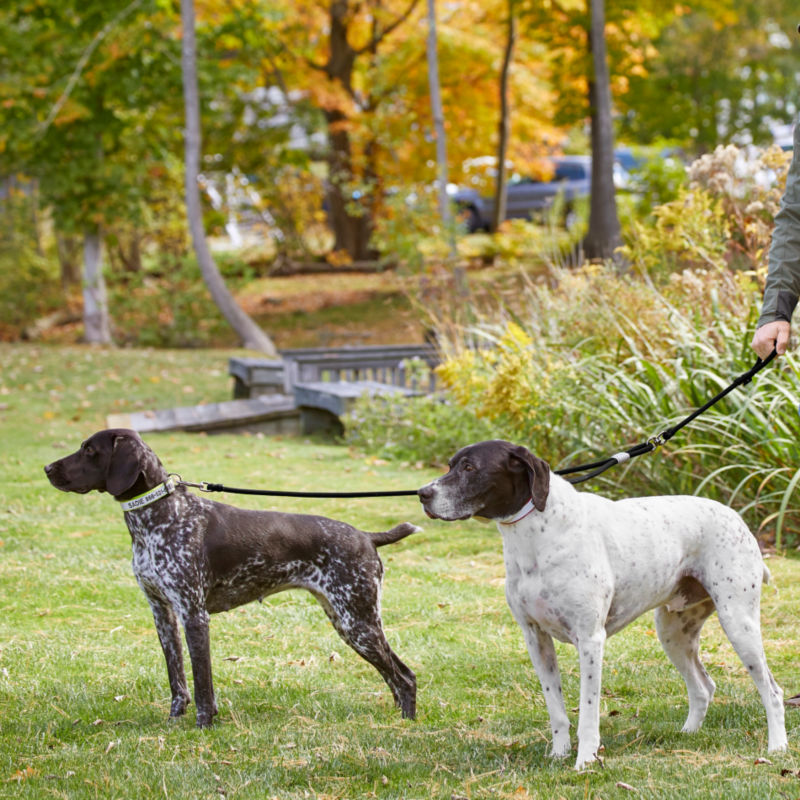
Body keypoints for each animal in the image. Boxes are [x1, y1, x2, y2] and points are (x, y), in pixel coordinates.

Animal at [45, 428, 418, 728]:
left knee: (405, 677)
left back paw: (407, 725)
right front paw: (173, 722)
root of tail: (367, 536)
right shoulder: (162, 613)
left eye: (89, 450)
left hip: (358, 622)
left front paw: (203, 726)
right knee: (394, 675)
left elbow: (202, 683)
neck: (159, 518)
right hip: (348, 623)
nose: (47, 469)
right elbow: (177, 680)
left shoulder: (194, 615)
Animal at [418, 440, 788, 772]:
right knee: (703, 687)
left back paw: (777, 747)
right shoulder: (536, 638)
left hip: (738, 623)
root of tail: (737, 518)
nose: (422, 493)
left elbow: (588, 712)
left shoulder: (590, 640)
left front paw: (586, 760)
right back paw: (688, 734)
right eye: (451, 465)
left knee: (772, 690)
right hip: (674, 633)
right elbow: (557, 710)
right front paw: (558, 754)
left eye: (470, 468)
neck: (536, 536)